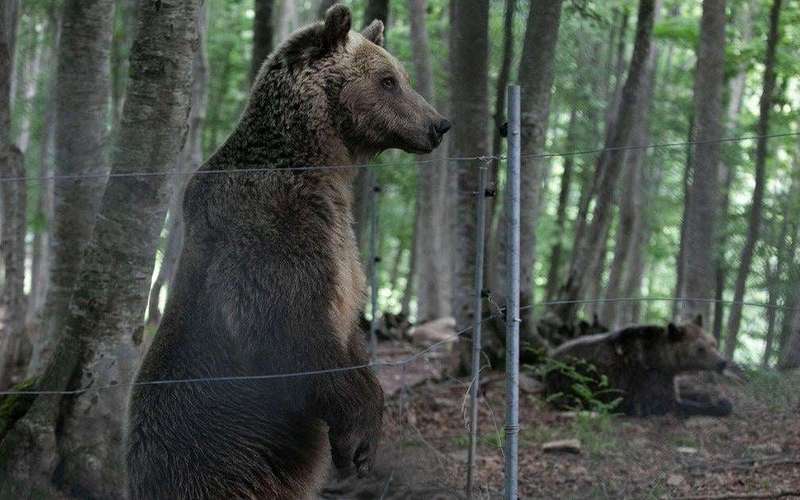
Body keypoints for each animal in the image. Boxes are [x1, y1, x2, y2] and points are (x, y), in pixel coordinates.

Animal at [126, 6, 450, 500]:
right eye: (389, 80)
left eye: (402, 76)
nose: (438, 125)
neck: (315, 160)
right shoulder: (274, 227)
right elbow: (286, 327)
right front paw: (359, 439)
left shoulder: (340, 245)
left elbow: (347, 325)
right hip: (214, 463)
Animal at [543, 315, 733, 417]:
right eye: (700, 349)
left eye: (713, 343)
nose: (722, 362)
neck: (664, 360)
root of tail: (549, 360)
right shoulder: (648, 379)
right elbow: (671, 404)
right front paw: (720, 406)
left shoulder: (666, 377)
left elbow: (684, 391)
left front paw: (713, 396)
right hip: (576, 379)